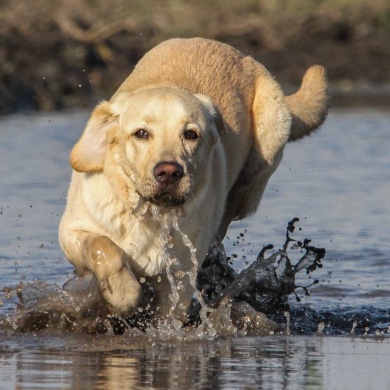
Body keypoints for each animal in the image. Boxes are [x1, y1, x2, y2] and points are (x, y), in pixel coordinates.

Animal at [59, 38, 328, 326]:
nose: (168, 172)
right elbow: (105, 248)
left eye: (190, 134)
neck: (151, 214)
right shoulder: (72, 231)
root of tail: (238, 53)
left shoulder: (179, 278)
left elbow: (168, 318)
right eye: (141, 133)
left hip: (256, 170)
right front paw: (123, 294)